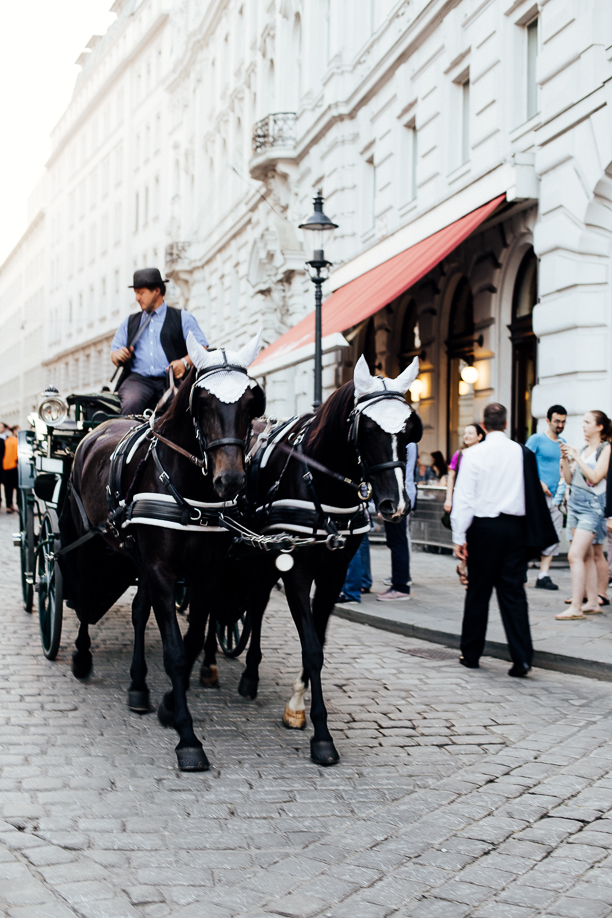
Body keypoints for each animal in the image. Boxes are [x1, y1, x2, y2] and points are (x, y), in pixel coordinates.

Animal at [59, 330, 266, 768]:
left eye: (250, 403)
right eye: (202, 402)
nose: (231, 480)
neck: (186, 486)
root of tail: (96, 430)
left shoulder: (205, 573)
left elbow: (190, 643)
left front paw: (170, 705)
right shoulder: (161, 570)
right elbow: (173, 651)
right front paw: (188, 738)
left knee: (138, 612)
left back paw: (138, 686)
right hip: (87, 539)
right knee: (83, 595)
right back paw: (82, 656)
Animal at [189, 356, 424, 764]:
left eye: (409, 430)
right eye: (368, 429)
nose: (396, 504)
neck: (321, 484)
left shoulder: (334, 574)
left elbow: (318, 641)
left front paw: (297, 704)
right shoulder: (295, 569)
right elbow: (312, 647)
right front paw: (320, 734)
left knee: (256, 605)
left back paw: (249, 675)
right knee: (221, 604)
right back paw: (210, 665)